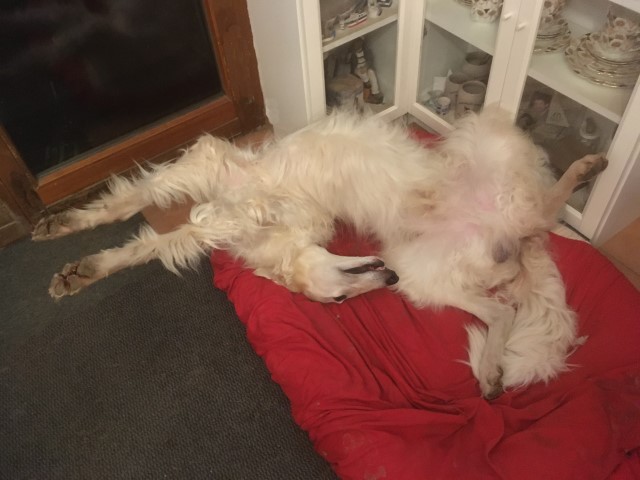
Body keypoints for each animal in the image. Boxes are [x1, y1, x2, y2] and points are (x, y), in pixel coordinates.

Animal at [33, 107, 607, 398]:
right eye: (338, 303)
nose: (386, 281)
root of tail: (518, 242)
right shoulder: (211, 173)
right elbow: (138, 221)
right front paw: (78, 254)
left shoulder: (244, 184)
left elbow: (198, 219)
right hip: (428, 274)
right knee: (502, 310)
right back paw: (489, 374)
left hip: (486, 140)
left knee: (544, 207)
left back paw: (586, 168)